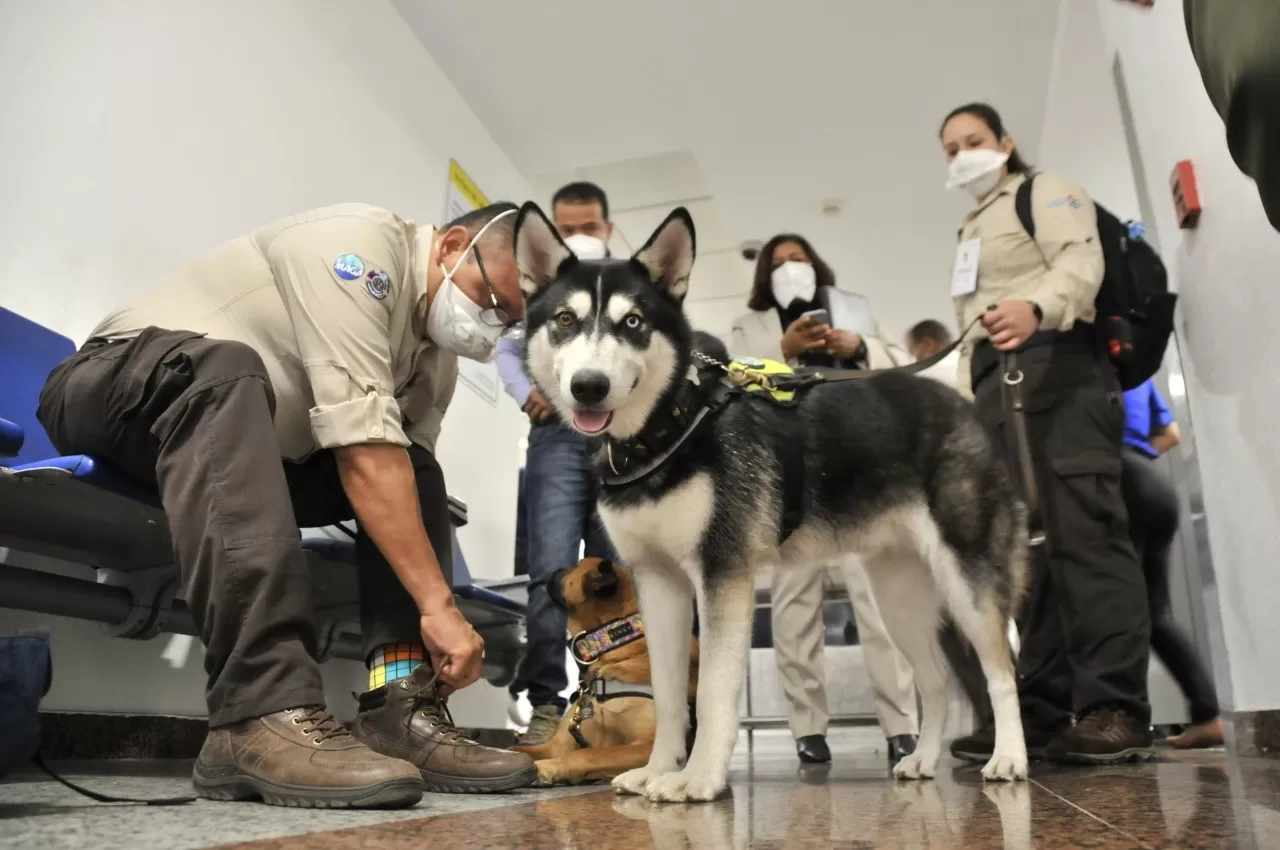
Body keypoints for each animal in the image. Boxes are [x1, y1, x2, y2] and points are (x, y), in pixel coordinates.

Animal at [509, 558, 701, 783]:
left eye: (576, 566)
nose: (555, 569)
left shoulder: (648, 746)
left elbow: (588, 754)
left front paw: (548, 768)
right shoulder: (556, 745)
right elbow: (518, 749)